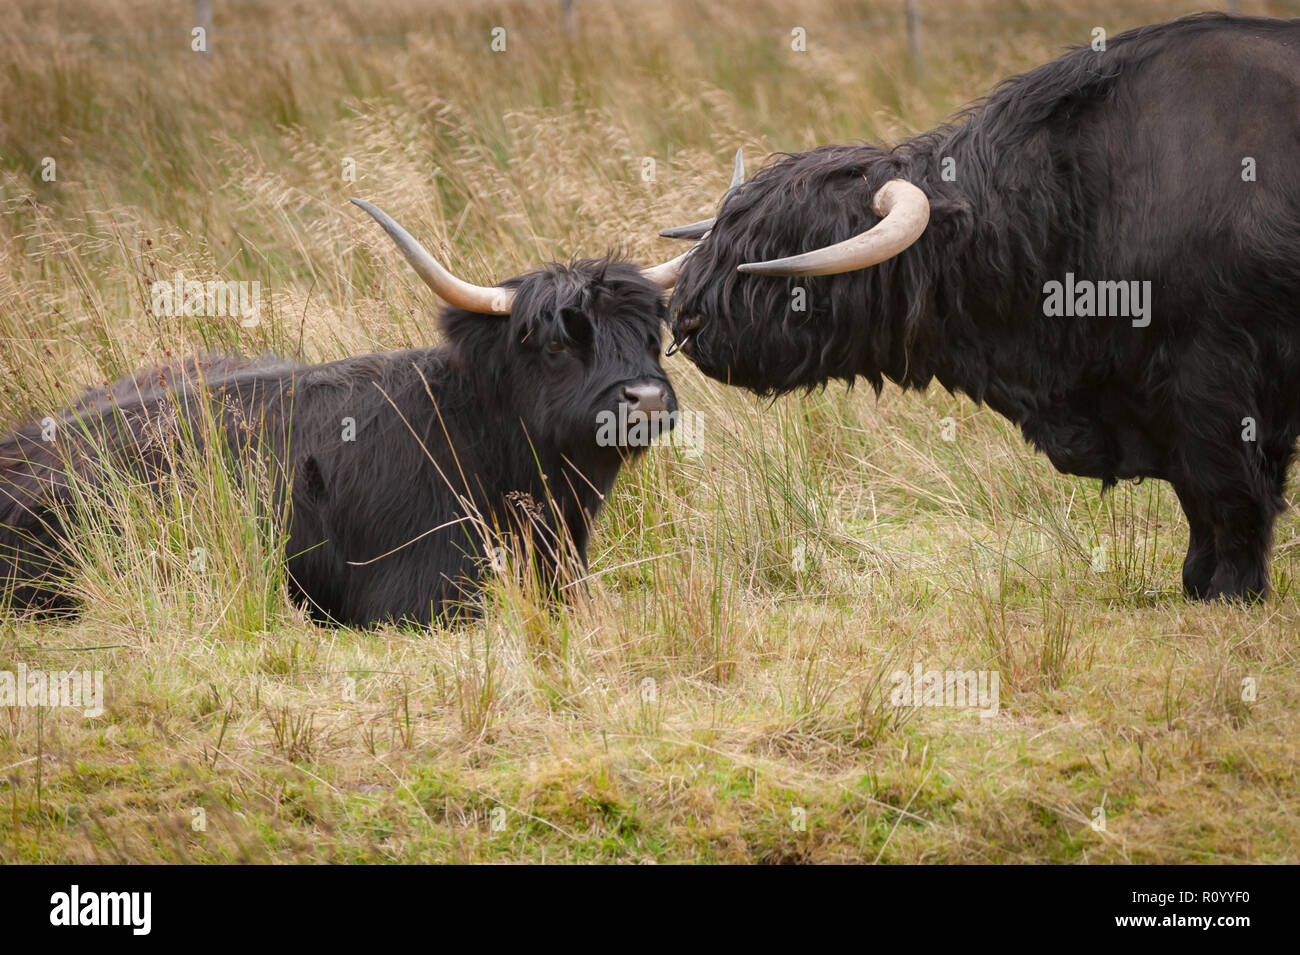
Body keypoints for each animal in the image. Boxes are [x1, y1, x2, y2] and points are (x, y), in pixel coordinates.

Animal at [662, 13, 1300, 603]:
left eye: (786, 245)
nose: (686, 319)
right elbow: (1200, 499)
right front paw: (1196, 582)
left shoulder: (1212, 378)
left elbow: (1228, 493)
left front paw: (1229, 591)